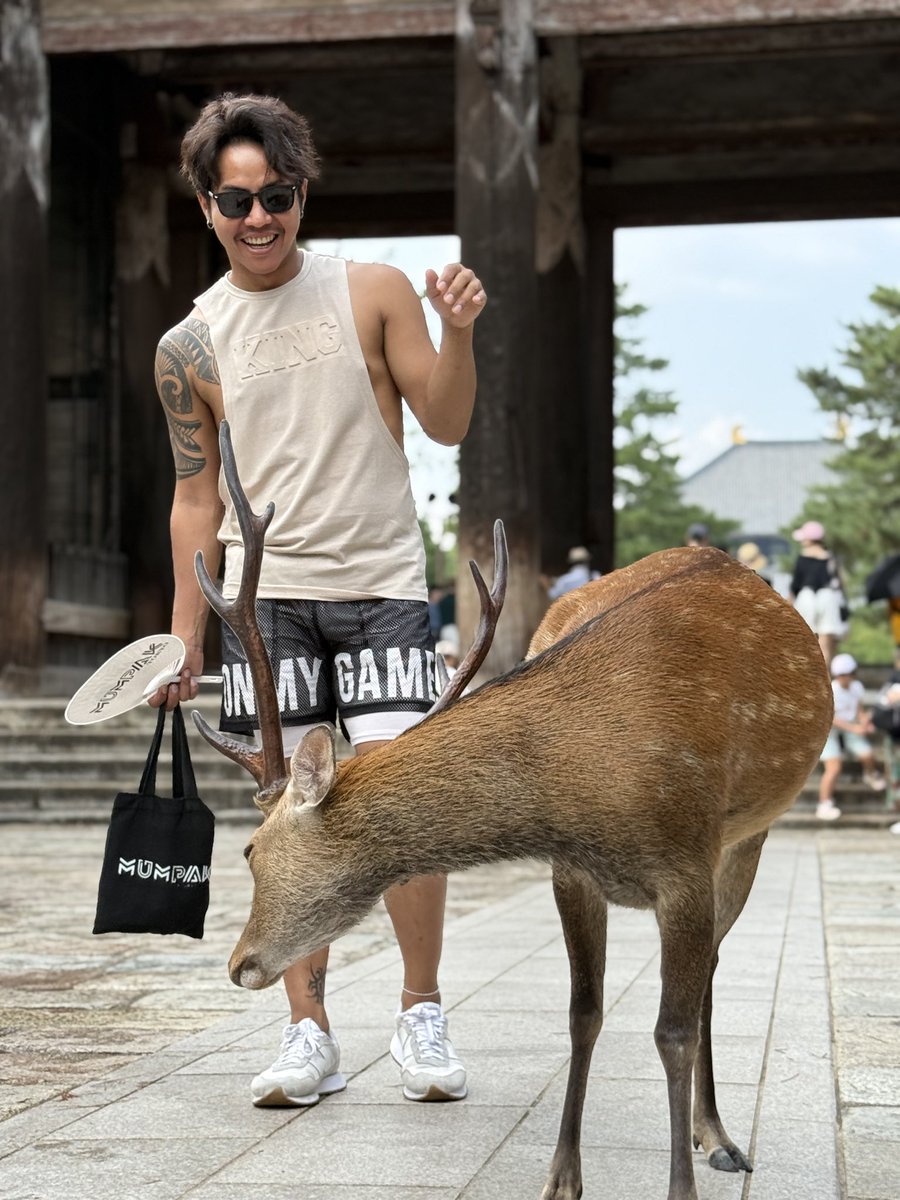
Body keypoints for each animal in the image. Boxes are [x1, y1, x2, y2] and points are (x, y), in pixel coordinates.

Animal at [192, 421, 833, 1200]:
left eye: (248, 850)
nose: (238, 963)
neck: (586, 785)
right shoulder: (570, 872)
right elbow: (583, 1014)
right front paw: (561, 1177)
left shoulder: (685, 860)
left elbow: (670, 1032)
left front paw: (679, 1184)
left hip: (748, 837)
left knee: (710, 968)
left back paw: (718, 1137)